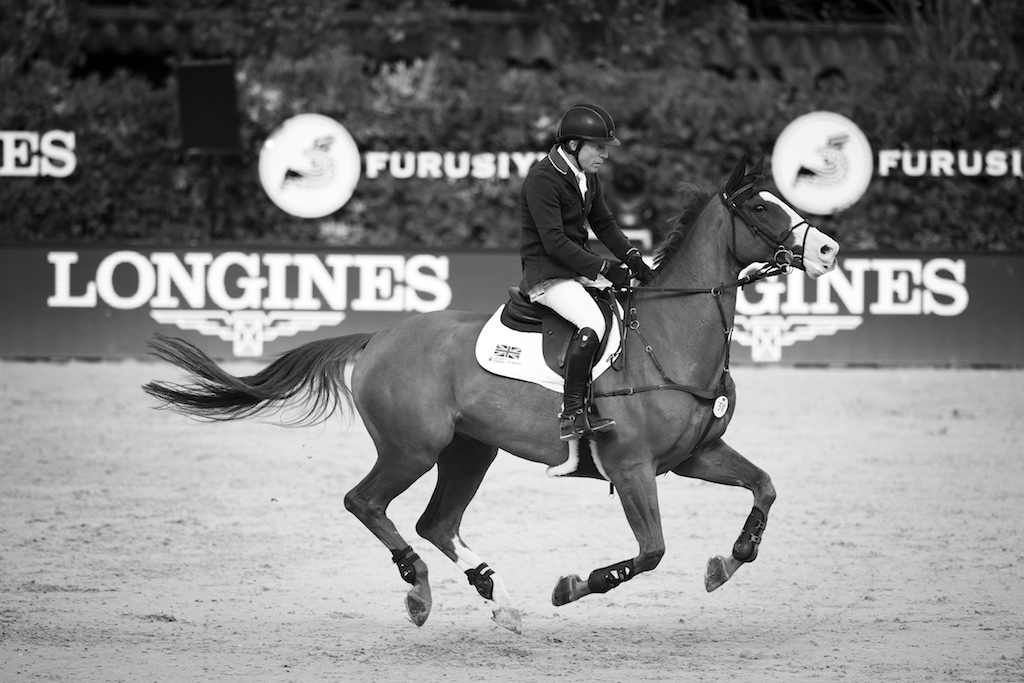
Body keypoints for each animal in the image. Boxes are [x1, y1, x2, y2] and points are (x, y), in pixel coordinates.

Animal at [142, 156, 839, 634]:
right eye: (761, 210)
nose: (829, 251)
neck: (669, 334)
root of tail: (378, 337)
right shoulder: (634, 466)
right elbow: (651, 552)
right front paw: (571, 586)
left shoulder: (693, 456)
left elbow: (765, 487)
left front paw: (729, 561)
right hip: (412, 449)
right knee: (366, 503)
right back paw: (421, 593)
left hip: (471, 450)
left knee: (436, 521)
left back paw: (496, 598)